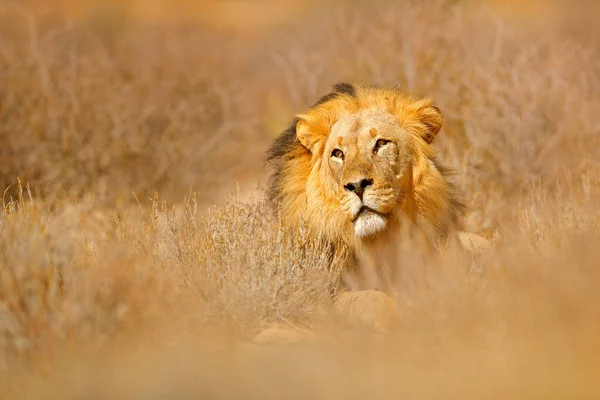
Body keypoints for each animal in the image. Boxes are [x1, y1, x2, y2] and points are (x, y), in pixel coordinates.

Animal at [255, 83, 490, 342]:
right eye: (338, 153)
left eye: (381, 143)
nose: (357, 185)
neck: (378, 242)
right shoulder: (323, 292)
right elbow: (369, 300)